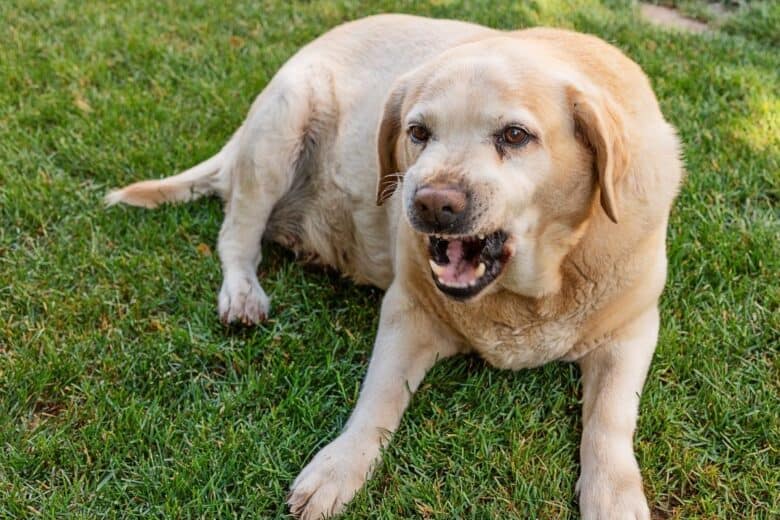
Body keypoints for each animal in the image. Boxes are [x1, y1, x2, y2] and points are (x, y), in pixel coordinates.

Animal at [108, 14, 684, 516]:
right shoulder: (409, 312)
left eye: (515, 135)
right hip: (280, 126)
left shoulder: (632, 331)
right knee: (236, 236)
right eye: (418, 132)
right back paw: (242, 293)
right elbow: (378, 399)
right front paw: (339, 468)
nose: (431, 202)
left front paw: (613, 495)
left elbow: (610, 420)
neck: (528, 291)